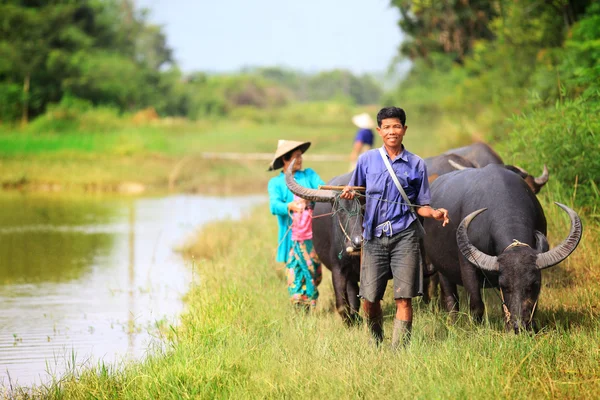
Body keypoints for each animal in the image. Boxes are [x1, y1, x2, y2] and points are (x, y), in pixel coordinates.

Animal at [284, 162, 364, 322]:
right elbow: (342, 305)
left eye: (363, 209)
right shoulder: (338, 268)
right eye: (340, 211)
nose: (357, 243)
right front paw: (351, 322)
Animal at [422, 164, 580, 332]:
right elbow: (476, 304)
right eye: (504, 286)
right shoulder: (467, 265)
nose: (519, 325)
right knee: (450, 297)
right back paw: (452, 323)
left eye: (533, 284)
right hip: (441, 269)